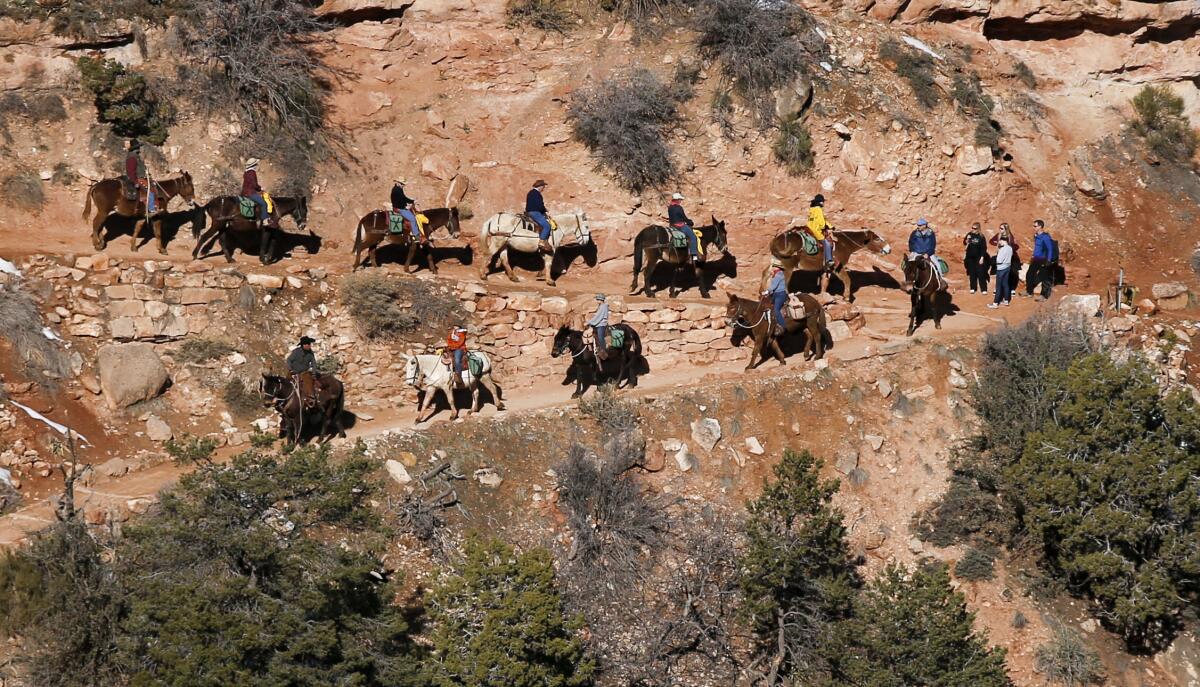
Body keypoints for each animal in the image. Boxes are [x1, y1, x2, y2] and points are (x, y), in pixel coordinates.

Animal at [758, 228, 892, 300]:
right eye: (877, 239)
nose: (889, 249)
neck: (844, 243)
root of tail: (775, 240)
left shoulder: (826, 268)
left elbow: (824, 283)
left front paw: (823, 297)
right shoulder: (837, 266)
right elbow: (847, 280)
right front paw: (846, 297)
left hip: (776, 261)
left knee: (765, 272)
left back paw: (762, 293)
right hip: (788, 266)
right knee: (785, 282)